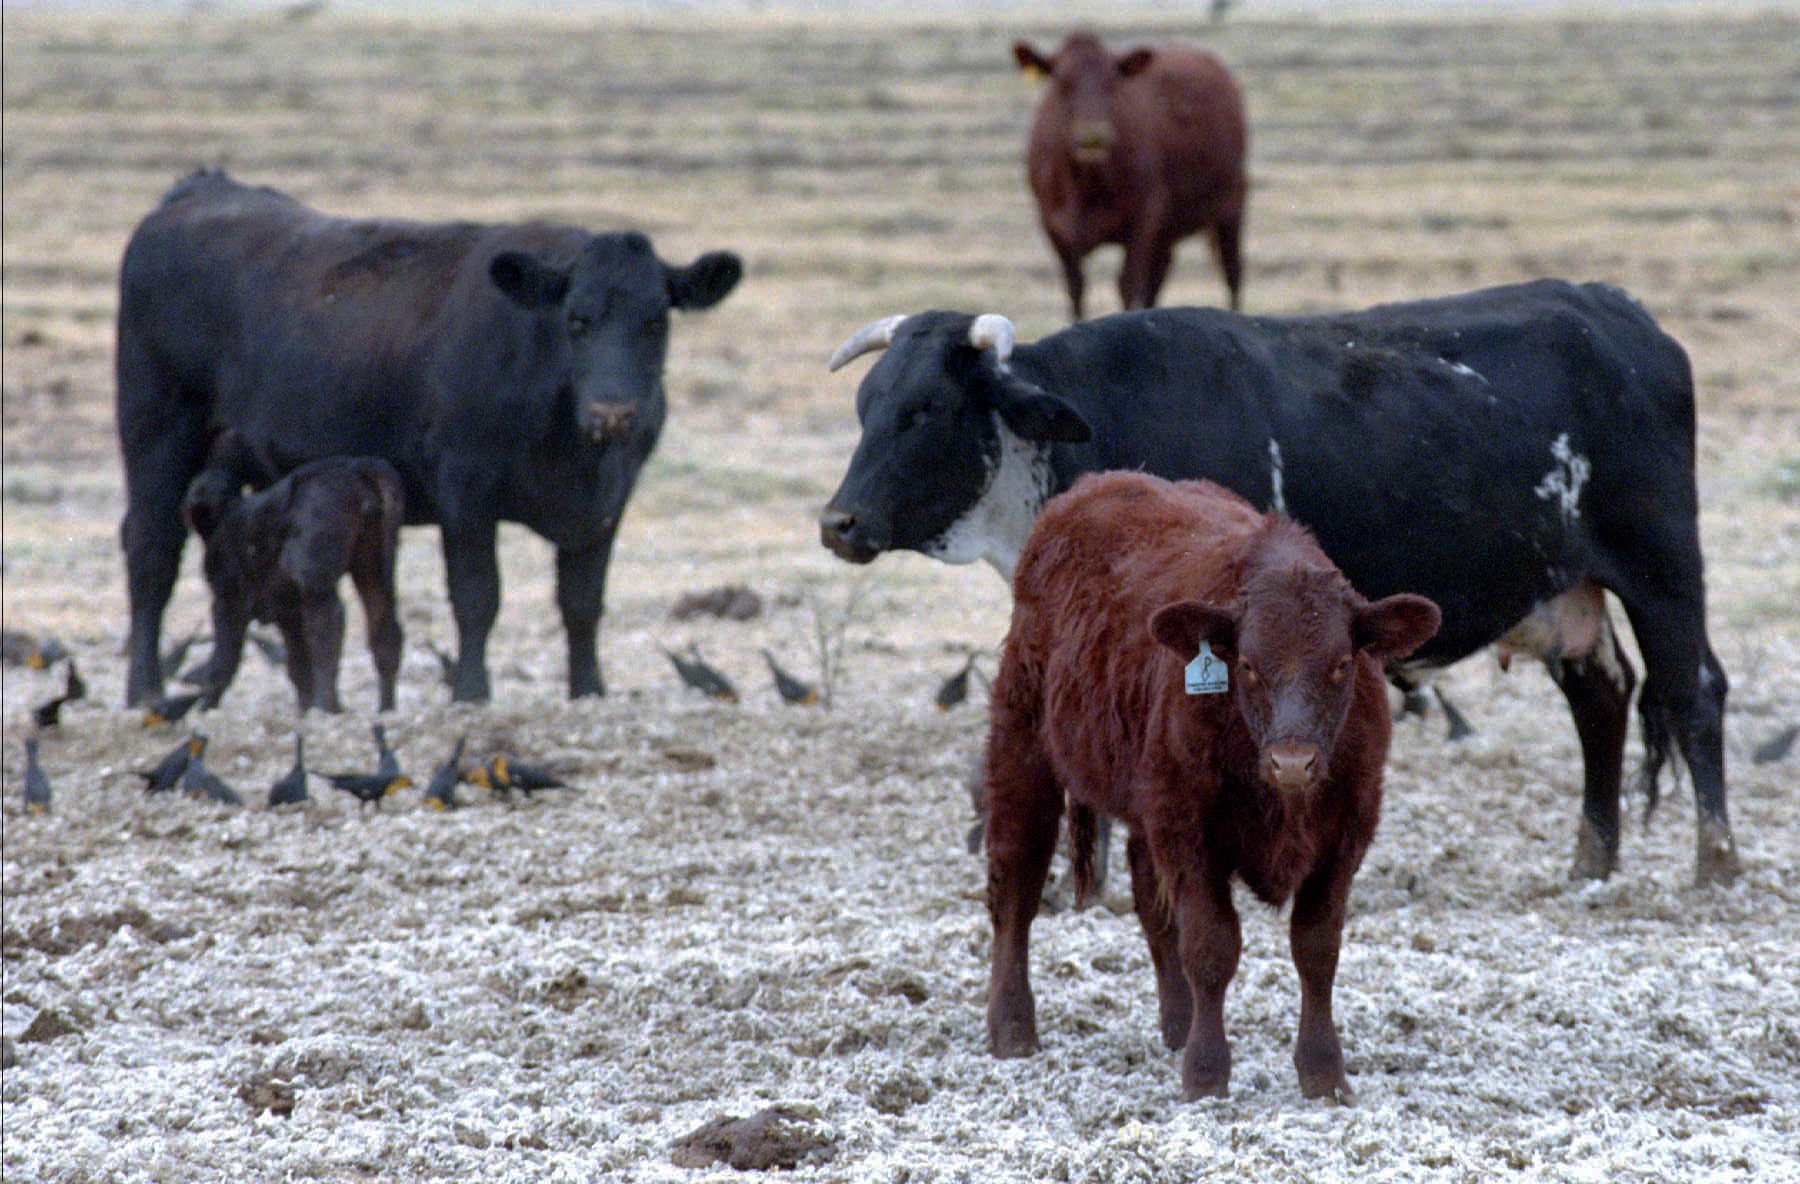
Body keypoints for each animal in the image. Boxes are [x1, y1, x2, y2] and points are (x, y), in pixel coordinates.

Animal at [182, 452, 404, 714]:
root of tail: (359, 467)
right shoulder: (287, 612)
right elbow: (298, 666)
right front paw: (303, 711)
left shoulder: (228, 599)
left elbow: (223, 660)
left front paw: (206, 707)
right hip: (375, 561)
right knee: (384, 625)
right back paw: (385, 708)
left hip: (313, 571)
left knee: (326, 625)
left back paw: (327, 706)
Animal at [819, 279, 1737, 886]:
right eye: (865, 405)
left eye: (928, 407)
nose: (839, 523)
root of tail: (1616, 311)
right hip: (1565, 591)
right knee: (1601, 697)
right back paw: (1592, 864)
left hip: (1662, 568)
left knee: (1692, 691)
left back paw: (1715, 864)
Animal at [985, 472, 1440, 1101]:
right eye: (1246, 664)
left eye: (1342, 665)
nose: (1293, 763)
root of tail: (1095, 486)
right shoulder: (1189, 828)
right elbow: (1210, 944)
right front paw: (1206, 1073)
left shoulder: (1348, 829)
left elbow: (1317, 948)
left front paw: (1323, 1072)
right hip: (1023, 743)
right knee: (1016, 886)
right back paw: (1012, 1029)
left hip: (1143, 797)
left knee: (1151, 905)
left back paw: (1177, 1026)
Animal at [1013, 31, 1248, 319]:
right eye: (1061, 81)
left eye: (1112, 82)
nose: (1092, 134)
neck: (1086, 185)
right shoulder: (1054, 225)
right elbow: (1076, 288)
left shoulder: (1144, 218)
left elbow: (1127, 284)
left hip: (1231, 205)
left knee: (1232, 271)